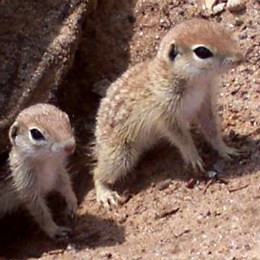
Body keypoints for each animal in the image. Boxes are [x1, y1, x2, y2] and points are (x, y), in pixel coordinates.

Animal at [0, 103, 77, 238]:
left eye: (67, 119)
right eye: (35, 133)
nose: (70, 146)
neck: (46, 162)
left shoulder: (59, 170)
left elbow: (65, 184)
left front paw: (72, 202)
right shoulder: (25, 184)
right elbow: (39, 211)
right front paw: (54, 230)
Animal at [92, 19, 245, 208]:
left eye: (222, 30)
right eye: (202, 51)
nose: (241, 57)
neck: (195, 82)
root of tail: (99, 141)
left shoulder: (205, 100)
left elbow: (211, 128)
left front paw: (225, 148)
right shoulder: (165, 110)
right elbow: (179, 135)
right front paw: (193, 156)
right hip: (120, 153)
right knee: (98, 171)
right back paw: (105, 193)